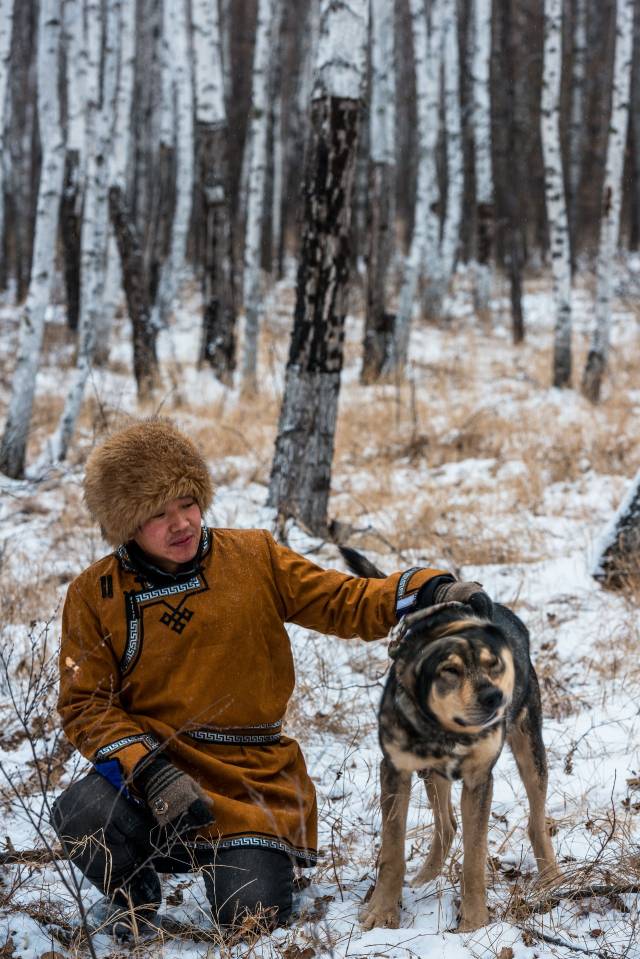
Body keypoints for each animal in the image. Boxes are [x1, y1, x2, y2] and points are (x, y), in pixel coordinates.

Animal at [342, 548, 556, 928]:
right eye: (449, 670)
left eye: (494, 664)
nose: (494, 699)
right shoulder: (396, 769)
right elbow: (392, 850)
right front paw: (382, 911)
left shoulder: (478, 779)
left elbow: (474, 856)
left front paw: (474, 923)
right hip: (431, 772)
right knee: (447, 825)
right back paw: (425, 877)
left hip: (530, 748)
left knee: (535, 820)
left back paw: (553, 878)